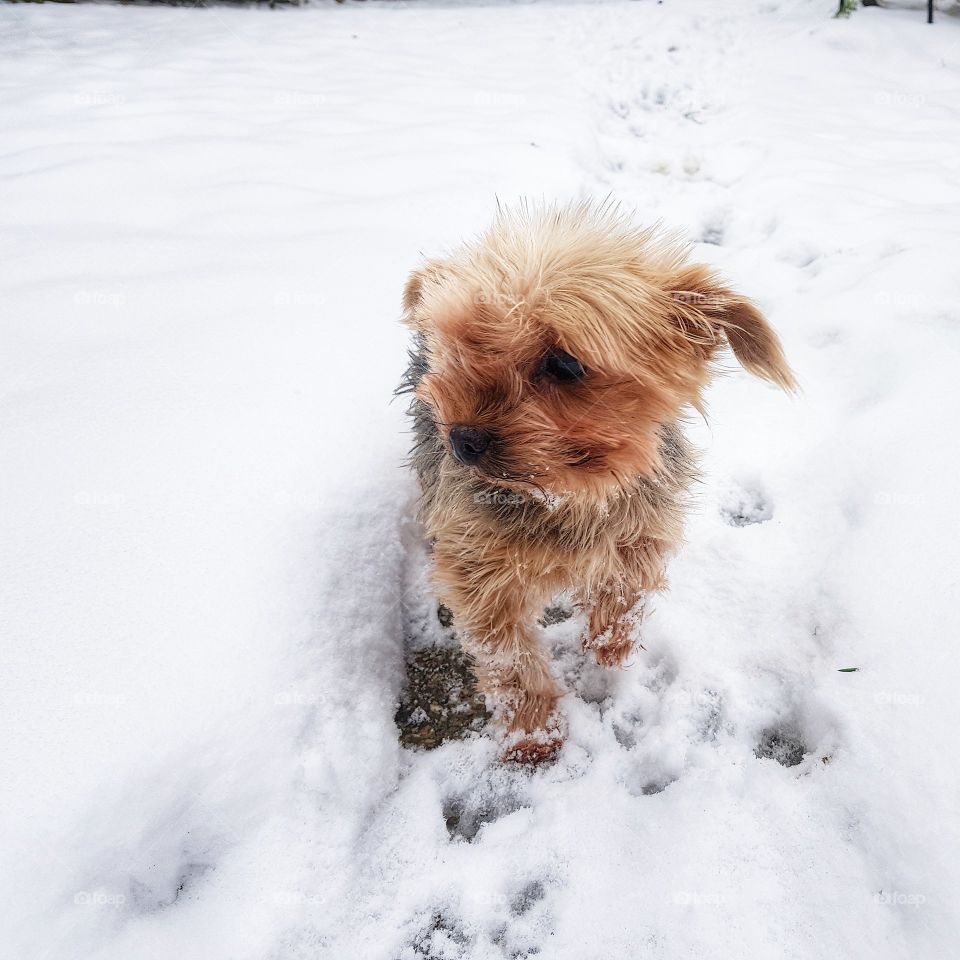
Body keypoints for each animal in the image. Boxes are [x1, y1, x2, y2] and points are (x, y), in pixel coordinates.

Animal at [398, 199, 796, 760]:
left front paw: (610, 646)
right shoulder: (478, 565)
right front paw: (533, 735)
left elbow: (625, 585)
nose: (461, 440)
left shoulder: (641, 526)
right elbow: (509, 656)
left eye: (566, 363)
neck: (562, 495)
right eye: (459, 346)